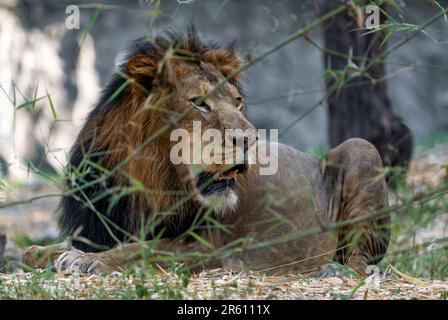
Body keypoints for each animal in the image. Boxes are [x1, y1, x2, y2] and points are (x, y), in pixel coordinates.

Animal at [22, 29, 390, 276]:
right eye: (200, 103)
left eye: (237, 101)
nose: (251, 138)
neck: (151, 182)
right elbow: (39, 252)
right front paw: (45, 251)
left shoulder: (209, 247)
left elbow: (140, 250)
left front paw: (85, 260)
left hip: (362, 150)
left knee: (364, 258)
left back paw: (336, 270)